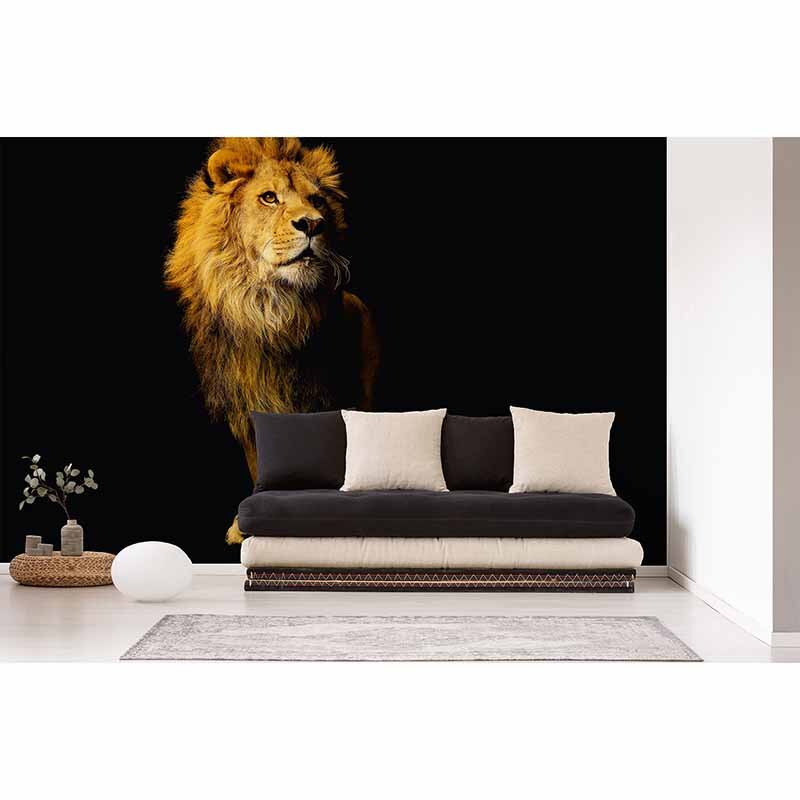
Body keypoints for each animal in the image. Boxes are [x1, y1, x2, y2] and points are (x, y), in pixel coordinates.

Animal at [165, 137, 379, 543]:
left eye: (317, 200)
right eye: (268, 197)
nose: (312, 223)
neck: (270, 309)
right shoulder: (246, 403)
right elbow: (261, 462)